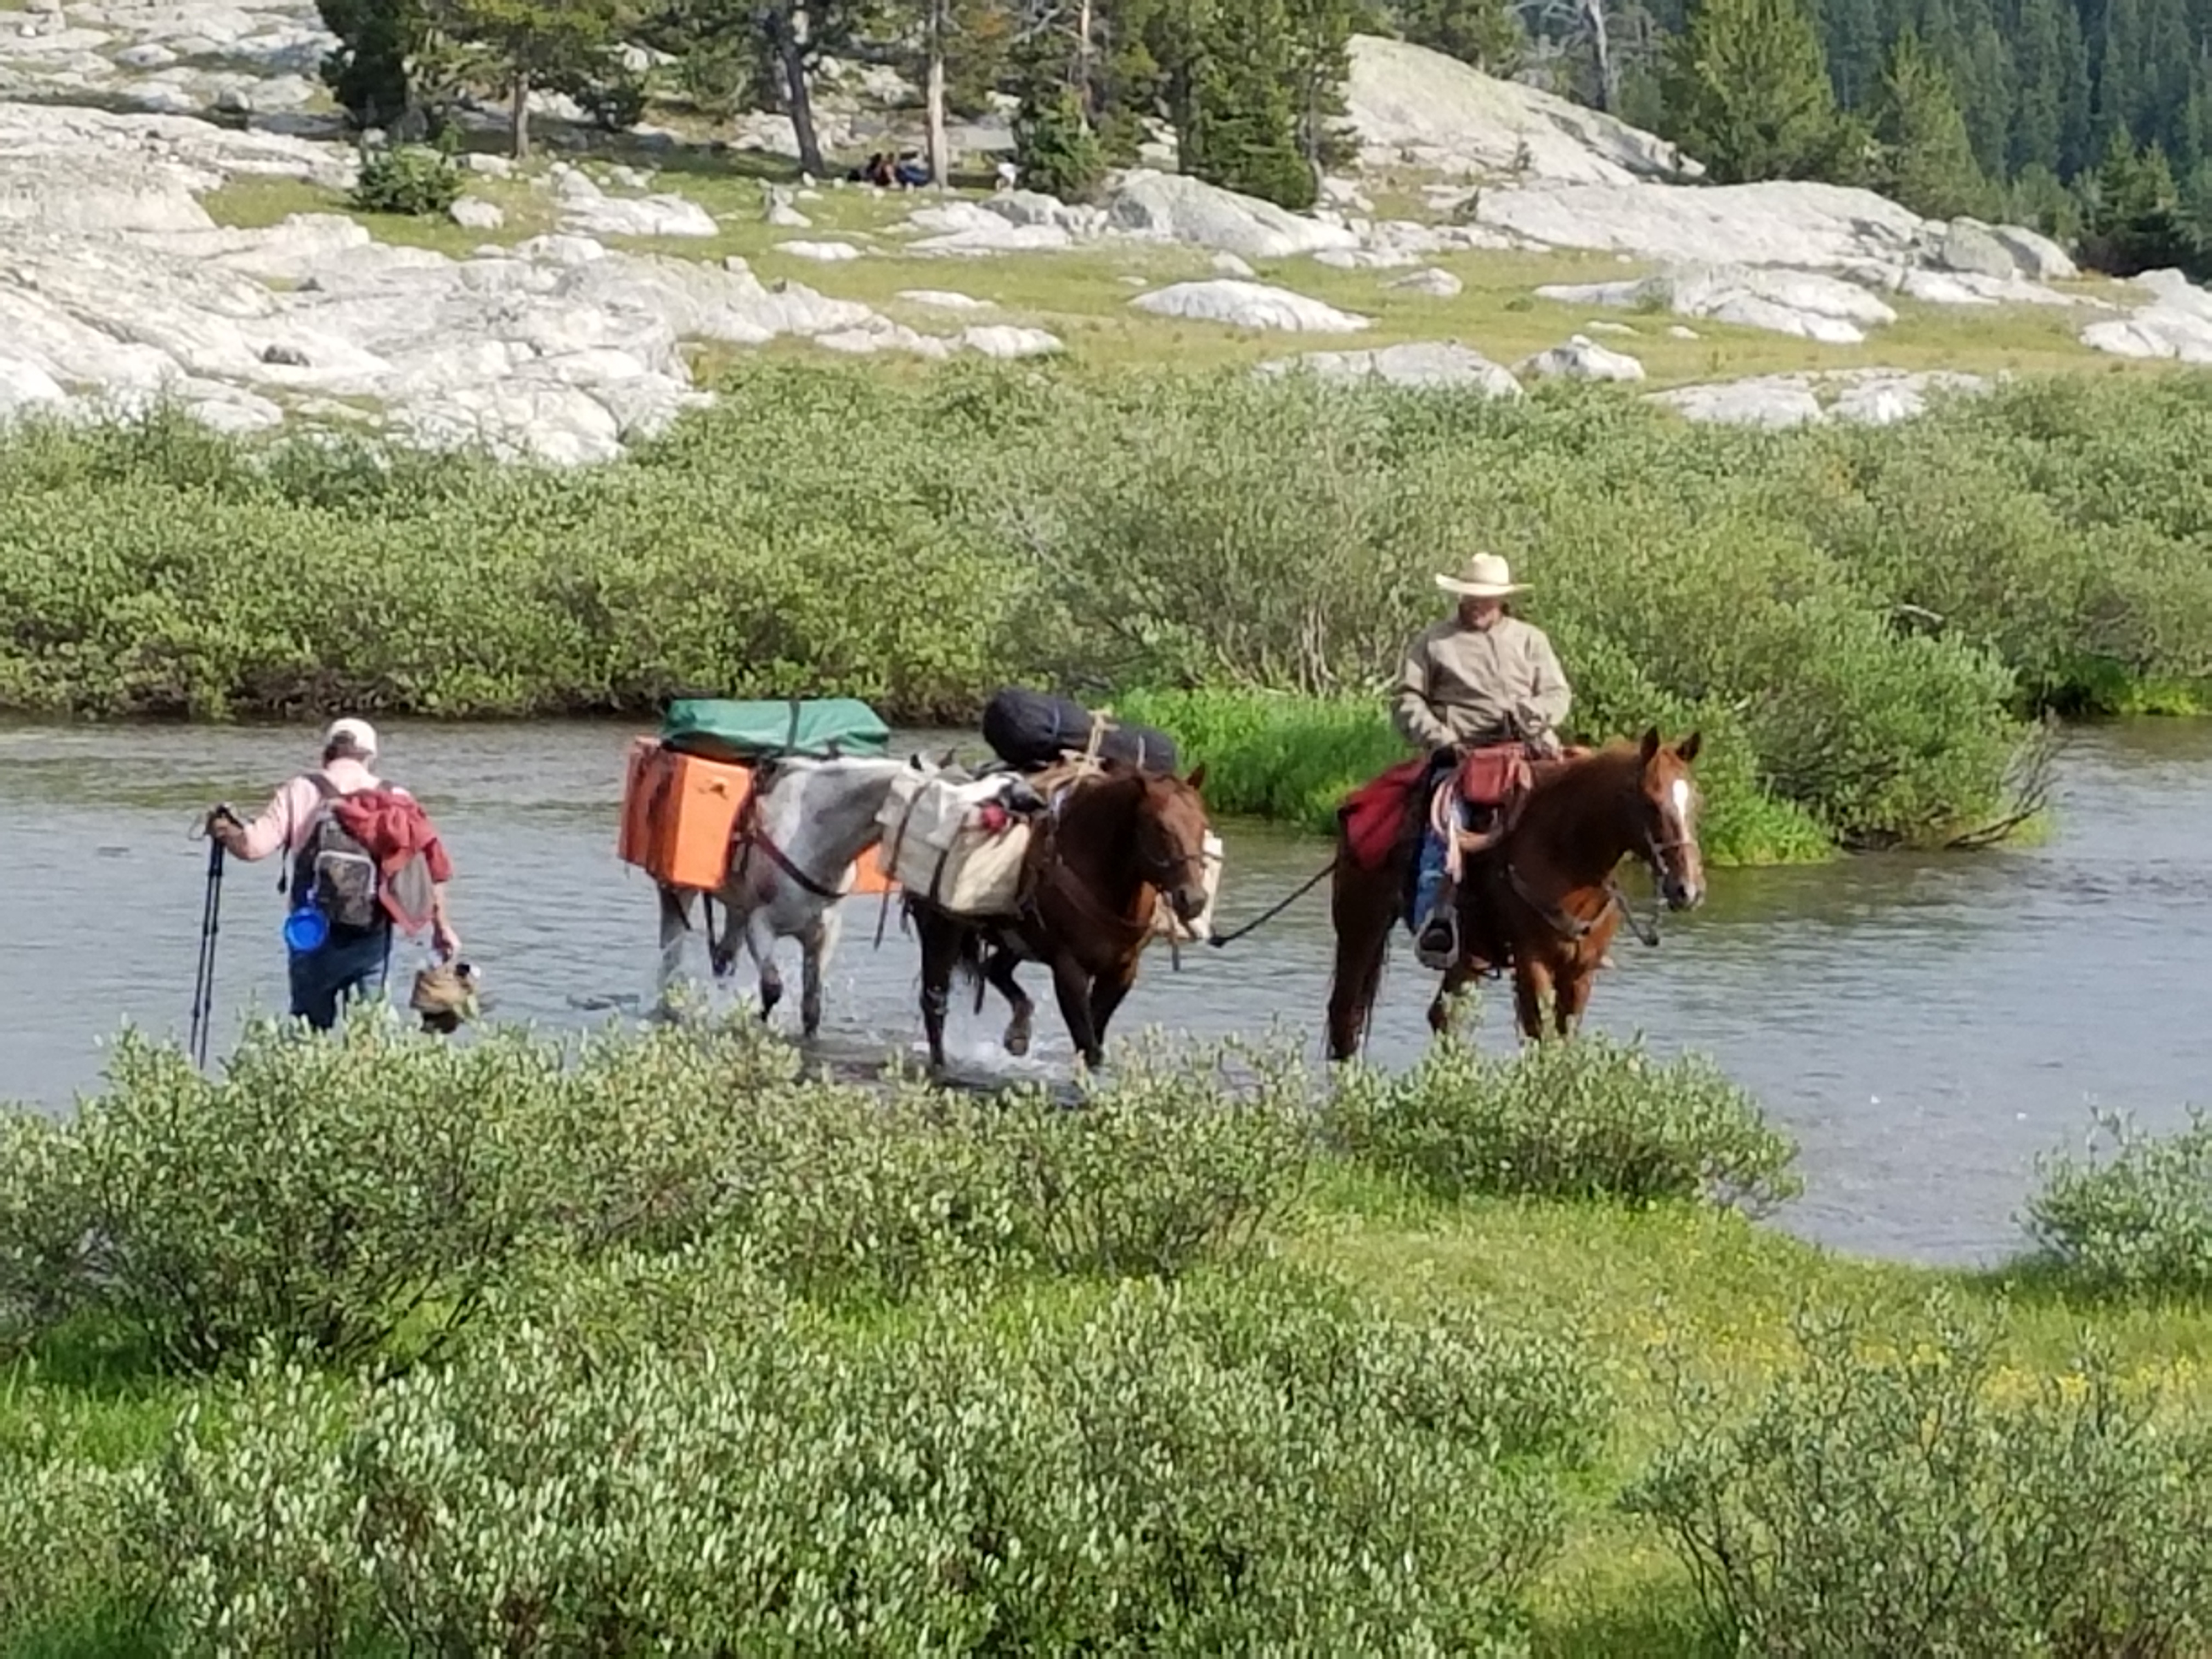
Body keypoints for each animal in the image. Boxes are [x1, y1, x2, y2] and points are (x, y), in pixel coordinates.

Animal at [898, 765, 1212, 1079]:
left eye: (1203, 825)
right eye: (1160, 826)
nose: (1193, 898)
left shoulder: (1122, 970)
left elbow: (1094, 1040)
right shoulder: (1068, 969)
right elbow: (1087, 1043)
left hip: (1015, 940)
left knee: (993, 970)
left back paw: (1018, 1034)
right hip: (942, 931)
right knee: (935, 1003)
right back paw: (941, 1066)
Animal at [1327, 730, 1707, 1066]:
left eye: (1696, 802)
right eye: (1650, 802)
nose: (1687, 889)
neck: (1567, 853)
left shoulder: (1582, 968)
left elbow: (1564, 1038)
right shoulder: (1532, 959)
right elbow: (1541, 1036)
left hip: (1468, 953)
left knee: (1443, 1016)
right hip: (1361, 926)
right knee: (1345, 1019)